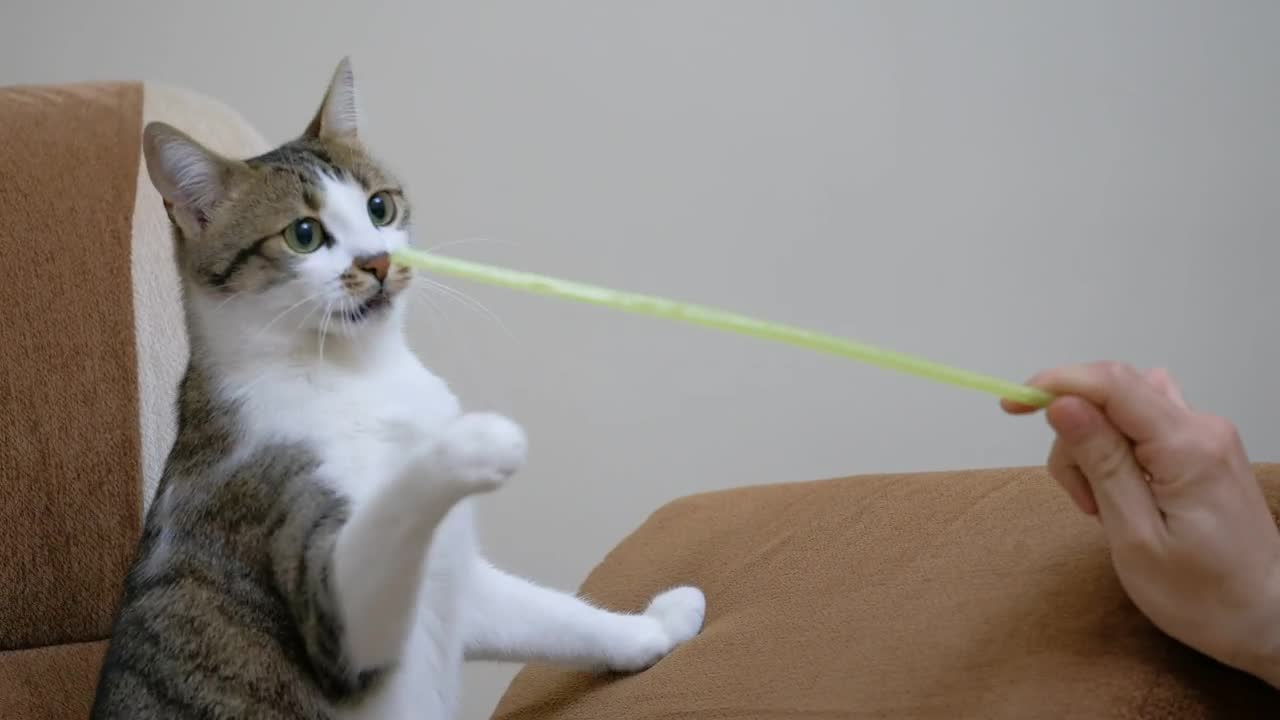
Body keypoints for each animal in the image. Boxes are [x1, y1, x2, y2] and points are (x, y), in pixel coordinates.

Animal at [90, 57, 706, 717]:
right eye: (303, 234)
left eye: (380, 207)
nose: (378, 261)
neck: (359, 372)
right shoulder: (328, 607)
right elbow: (391, 515)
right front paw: (472, 444)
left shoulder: (456, 578)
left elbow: (561, 618)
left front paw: (657, 626)